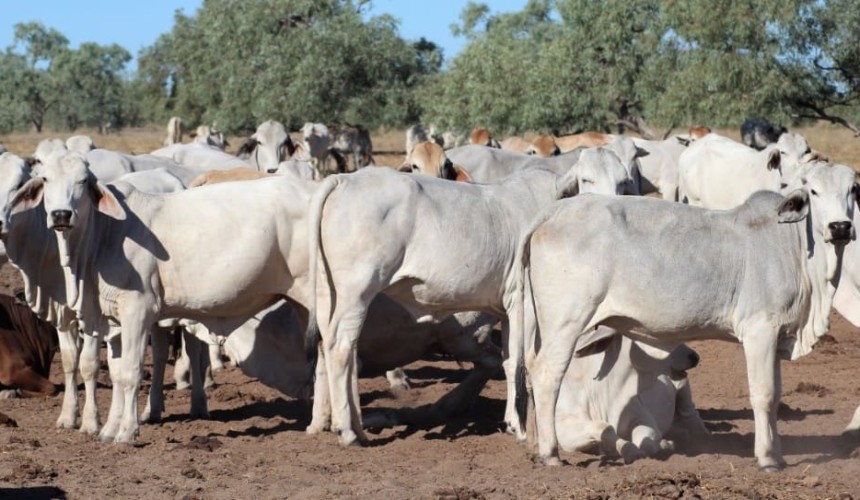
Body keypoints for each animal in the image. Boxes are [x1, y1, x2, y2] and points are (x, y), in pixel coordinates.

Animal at [303, 158, 632, 447]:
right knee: (341, 348)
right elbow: (522, 363)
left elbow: (510, 361)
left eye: (624, 181)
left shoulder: (508, 310)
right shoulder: (524, 304)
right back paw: (347, 432)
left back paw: (355, 425)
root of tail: (344, 179)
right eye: (586, 179)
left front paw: (516, 424)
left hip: (330, 293)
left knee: (335, 347)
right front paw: (524, 428)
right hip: (356, 291)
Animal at [554, 336, 706, 463]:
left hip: (683, 385)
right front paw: (628, 450)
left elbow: (647, 444)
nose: (694, 357)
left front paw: (664, 444)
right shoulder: (564, 428)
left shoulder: (643, 418)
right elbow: (604, 428)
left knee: (691, 413)